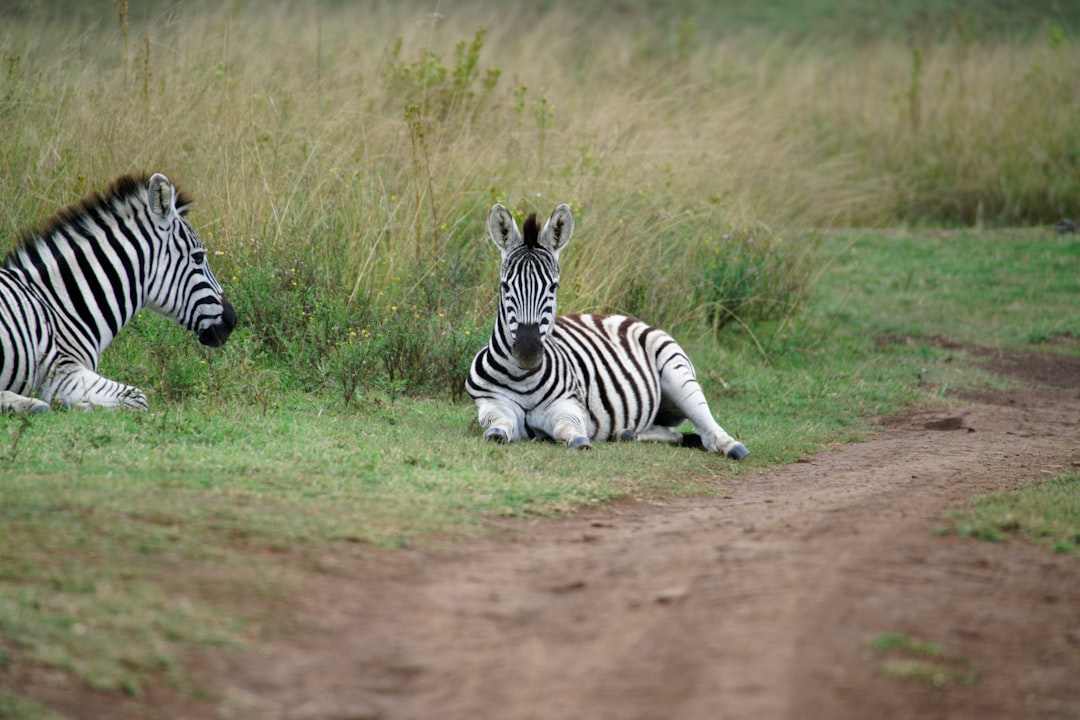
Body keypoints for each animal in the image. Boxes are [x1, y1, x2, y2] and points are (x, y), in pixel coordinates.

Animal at [0, 171, 235, 414]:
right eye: (198, 257)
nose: (232, 320)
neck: (59, 304)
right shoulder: (60, 372)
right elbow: (138, 397)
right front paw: (75, 405)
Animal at [464, 202, 751, 462]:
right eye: (505, 286)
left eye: (553, 287)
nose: (527, 353)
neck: (522, 378)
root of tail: (616, 315)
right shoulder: (491, 402)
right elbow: (498, 426)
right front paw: (498, 433)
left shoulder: (570, 404)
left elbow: (568, 428)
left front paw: (579, 440)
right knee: (671, 432)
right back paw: (627, 433)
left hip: (677, 371)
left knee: (706, 426)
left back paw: (731, 446)